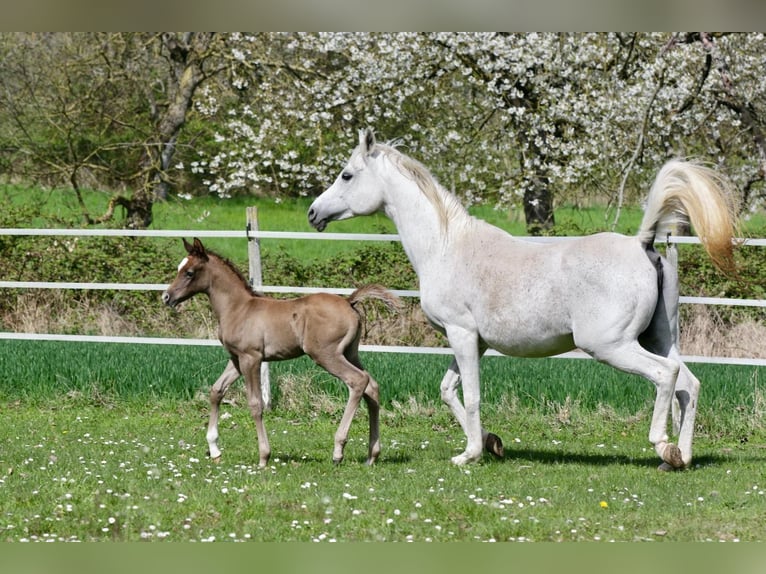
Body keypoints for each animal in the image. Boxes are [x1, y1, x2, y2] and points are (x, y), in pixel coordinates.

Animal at [162, 237, 401, 468]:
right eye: (179, 268)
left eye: (189, 272)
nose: (166, 297)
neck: (238, 308)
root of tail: (348, 301)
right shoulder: (236, 359)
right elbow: (216, 391)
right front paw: (214, 449)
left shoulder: (251, 358)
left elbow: (255, 404)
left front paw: (263, 457)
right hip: (350, 353)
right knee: (372, 386)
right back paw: (372, 455)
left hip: (326, 355)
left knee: (358, 381)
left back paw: (338, 451)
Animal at [308, 128, 739, 470]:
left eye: (346, 174)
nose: (313, 213)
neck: (446, 247)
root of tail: (642, 244)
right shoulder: (472, 341)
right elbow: (449, 391)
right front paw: (490, 443)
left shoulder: (461, 334)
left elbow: (472, 395)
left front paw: (469, 454)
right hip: (659, 339)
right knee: (689, 384)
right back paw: (680, 458)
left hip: (611, 346)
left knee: (665, 376)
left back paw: (662, 445)